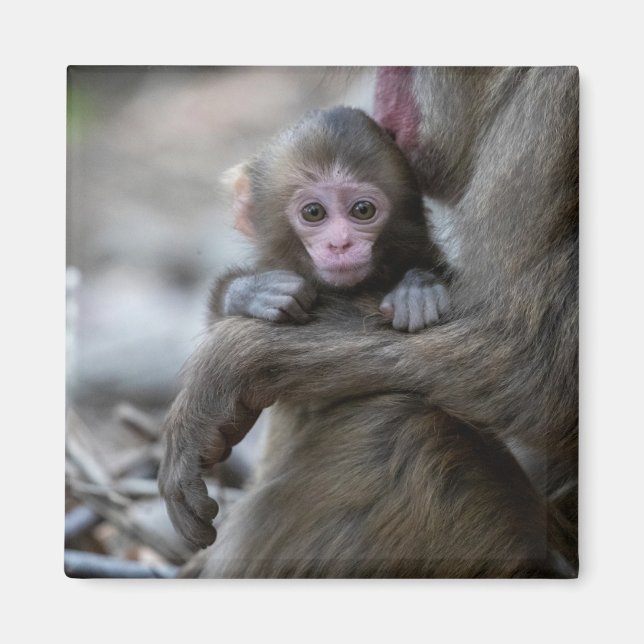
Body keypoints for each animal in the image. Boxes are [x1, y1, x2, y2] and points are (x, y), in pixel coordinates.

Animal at [158, 67, 578, 578]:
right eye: (313, 213)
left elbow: (533, 371)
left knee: (398, 427)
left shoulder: (551, 108)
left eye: (363, 210)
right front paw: (254, 294)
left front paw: (230, 364)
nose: (340, 244)